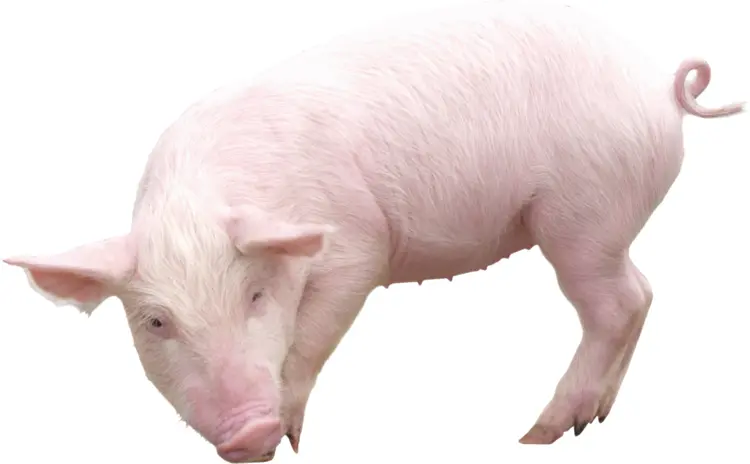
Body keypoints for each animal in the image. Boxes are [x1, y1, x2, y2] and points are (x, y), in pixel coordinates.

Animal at [4, 0, 746, 461]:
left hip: (582, 214)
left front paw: (290, 437)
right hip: (608, 225)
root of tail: (658, 88)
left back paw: (536, 435)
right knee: (643, 291)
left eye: (255, 296)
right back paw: (595, 420)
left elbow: (312, 333)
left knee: (614, 303)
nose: (247, 430)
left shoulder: (357, 246)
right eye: (156, 322)